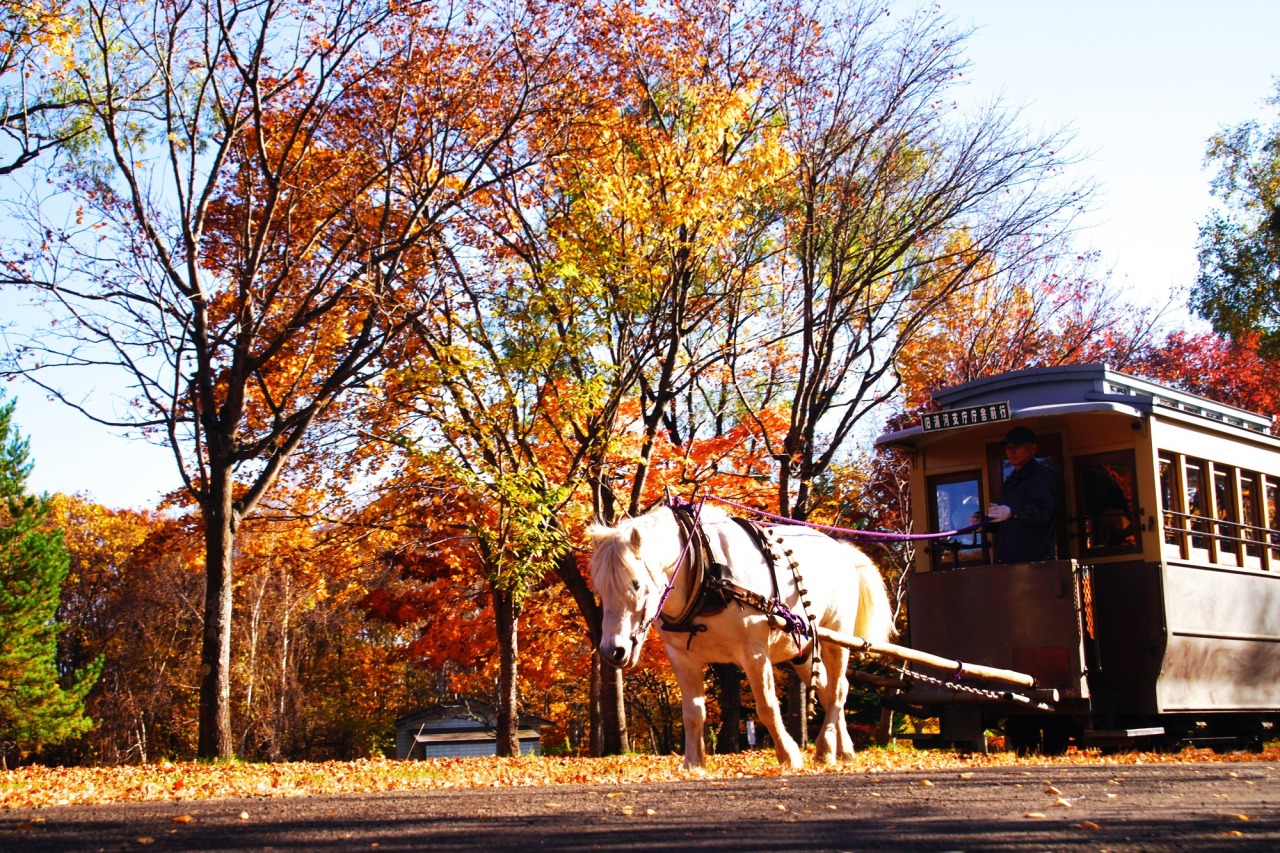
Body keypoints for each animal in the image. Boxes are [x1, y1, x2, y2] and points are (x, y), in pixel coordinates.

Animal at [586, 502, 890, 768]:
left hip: (837, 634)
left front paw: (789, 755)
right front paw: (693, 763)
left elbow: (767, 706)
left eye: (636, 585)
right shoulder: (682, 657)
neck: (702, 568)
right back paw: (844, 750)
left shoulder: (753, 651)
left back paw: (825, 748)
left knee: (838, 689)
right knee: (831, 691)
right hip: (804, 649)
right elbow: (693, 713)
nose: (613, 651)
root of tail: (840, 549)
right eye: (599, 589)